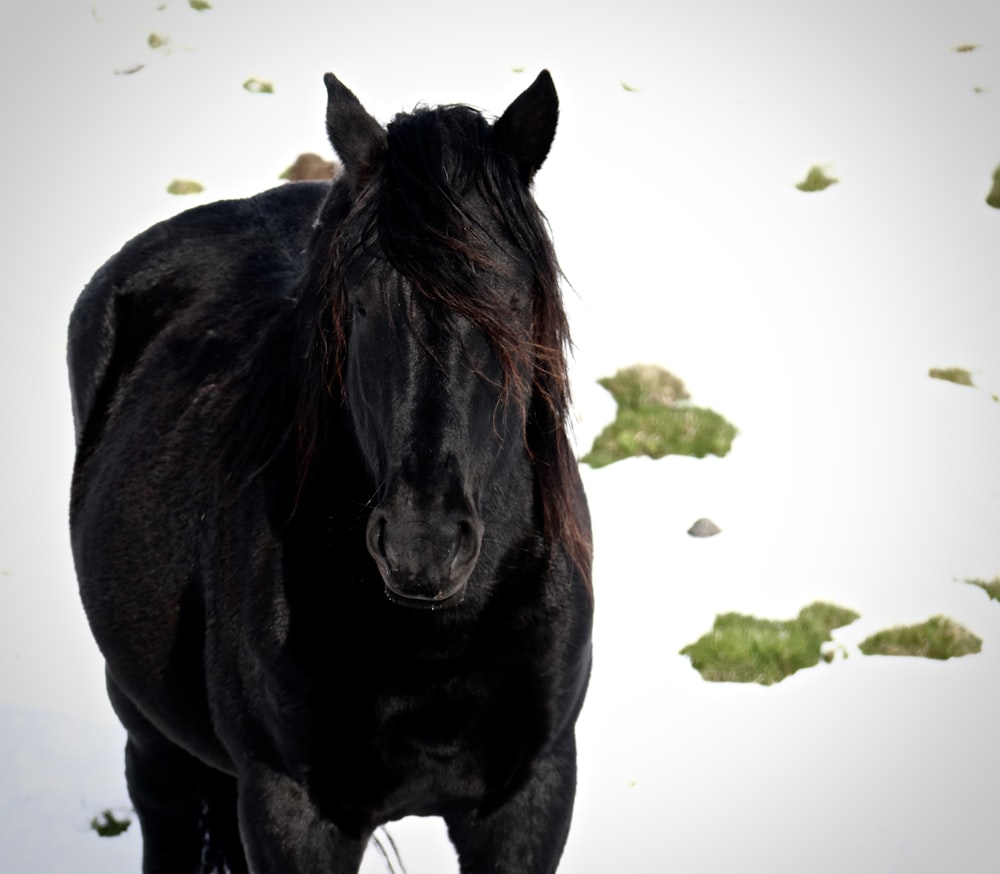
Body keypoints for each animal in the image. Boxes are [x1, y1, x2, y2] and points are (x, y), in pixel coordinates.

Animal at [68, 73, 592, 872]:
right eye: (361, 300)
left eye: (508, 299)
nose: (421, 546)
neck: (437, 639)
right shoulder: (291, 812)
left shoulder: (531, 796)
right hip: (151, 735)